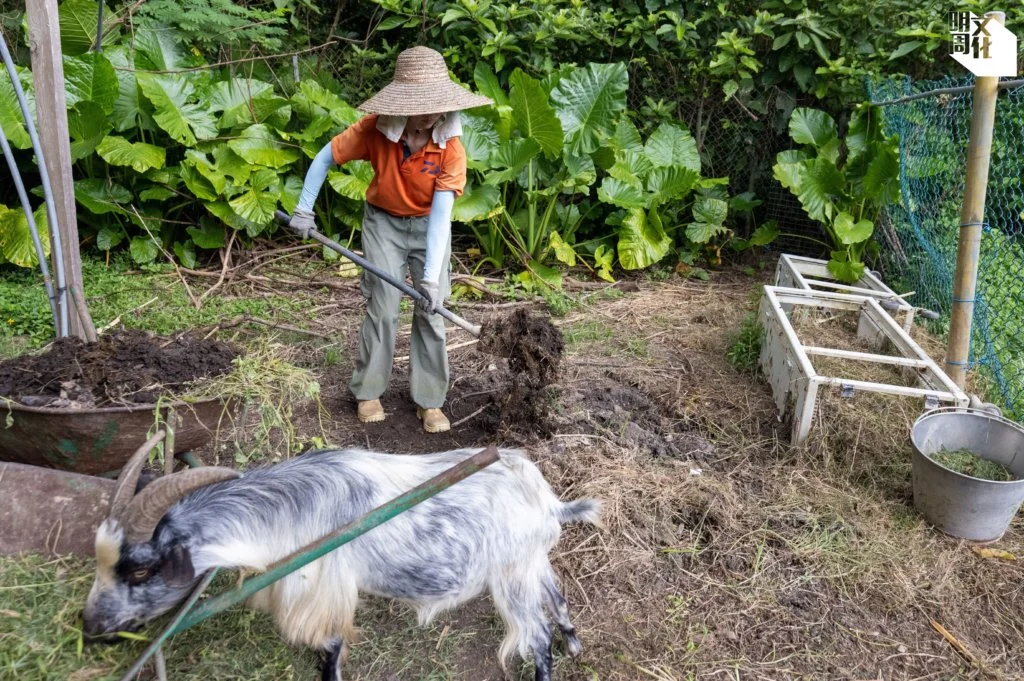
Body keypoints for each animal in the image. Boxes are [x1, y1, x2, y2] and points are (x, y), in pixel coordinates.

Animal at [82, 444, 600, 681]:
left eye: (141, 569)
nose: (90, 628)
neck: (291, 510)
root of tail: (547, 501)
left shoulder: (320, 590)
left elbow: (330, 646)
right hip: (531, 563)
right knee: (557, 598)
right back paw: (575, 643)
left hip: (512, 577)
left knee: (536, 638)